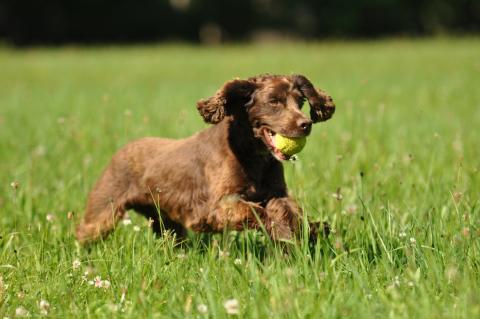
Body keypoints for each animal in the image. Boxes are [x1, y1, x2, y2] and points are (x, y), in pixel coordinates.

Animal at [77, 75, 336, 245]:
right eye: (274, 101)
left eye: (300, 102)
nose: (306, 124)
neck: (253, 155)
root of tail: (122, 149)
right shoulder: (213, 208)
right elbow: (256, 212)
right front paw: (283, 232)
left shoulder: (276, 192)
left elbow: (288, 210)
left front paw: (310, 229)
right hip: (104, 209)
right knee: (84, 233)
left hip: (164, 220)